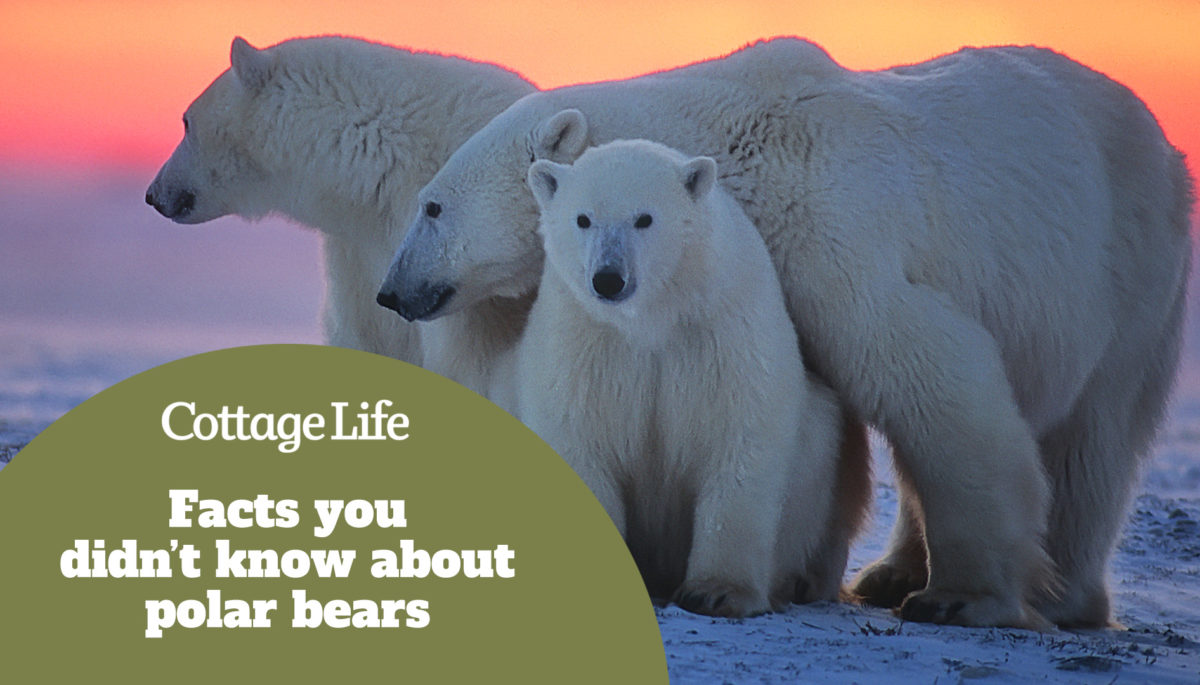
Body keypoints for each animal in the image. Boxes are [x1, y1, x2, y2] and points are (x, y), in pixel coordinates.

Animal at [519, 139, 861, 615]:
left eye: (644, 218)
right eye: (583, 218)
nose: (608, 279)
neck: (655, 318)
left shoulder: (723, 333)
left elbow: (739, 439)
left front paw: (717, 591)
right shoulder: (585, 341)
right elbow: (581, 437)